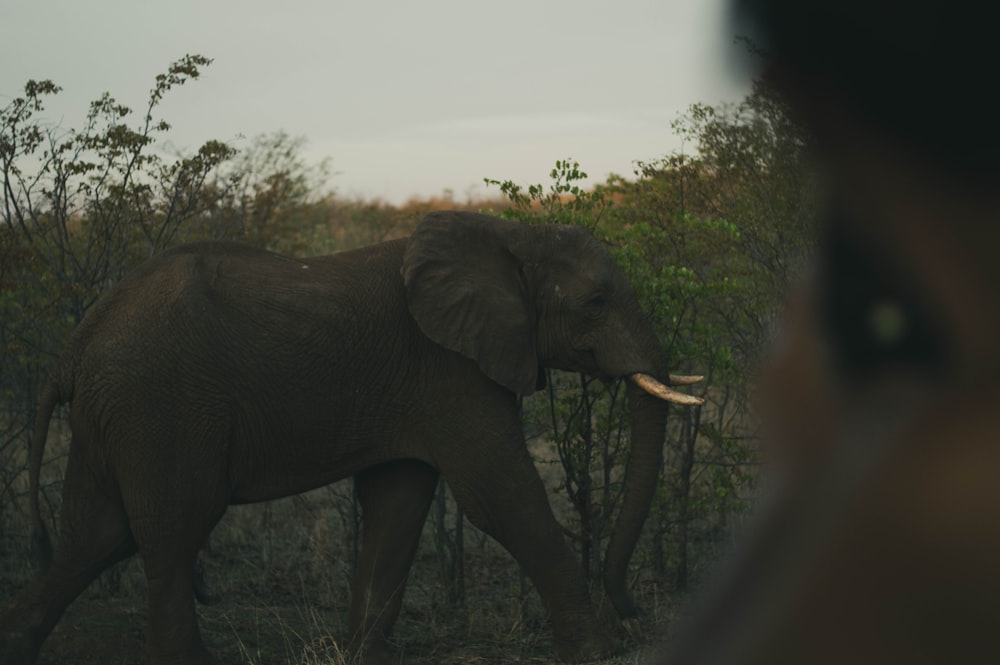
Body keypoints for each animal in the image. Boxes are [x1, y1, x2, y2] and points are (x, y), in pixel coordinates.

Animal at [0, 211, 700, 664]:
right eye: (597, 302)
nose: (635, 610)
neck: (510, 235)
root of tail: (77, 343)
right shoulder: (452, 370)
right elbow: (500, 495)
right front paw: (600, 650)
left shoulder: (417, 387)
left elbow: (399, 502)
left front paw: (361, 655)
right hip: (161, 405)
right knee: (173, 526)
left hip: (114, 413)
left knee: (95, 538)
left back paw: (19, 643)